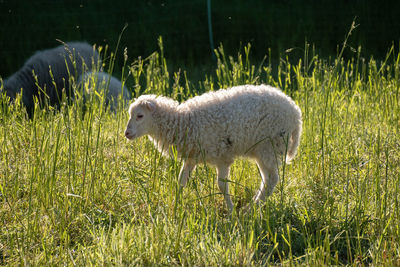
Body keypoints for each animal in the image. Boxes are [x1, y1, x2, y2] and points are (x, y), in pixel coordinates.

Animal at [123, 85, 302, 213]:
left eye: (140, 116)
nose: (127, 133)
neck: (184, 121)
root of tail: (296, 113)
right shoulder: (191, 157)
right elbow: (181, 181)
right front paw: (176, 206)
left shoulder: (222, 157)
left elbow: (222, 185)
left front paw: (231, 211)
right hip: (264, 150)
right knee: (267, 179)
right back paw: (253, 206)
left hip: (269, 146)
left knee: (272, 179)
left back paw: (249, 209)